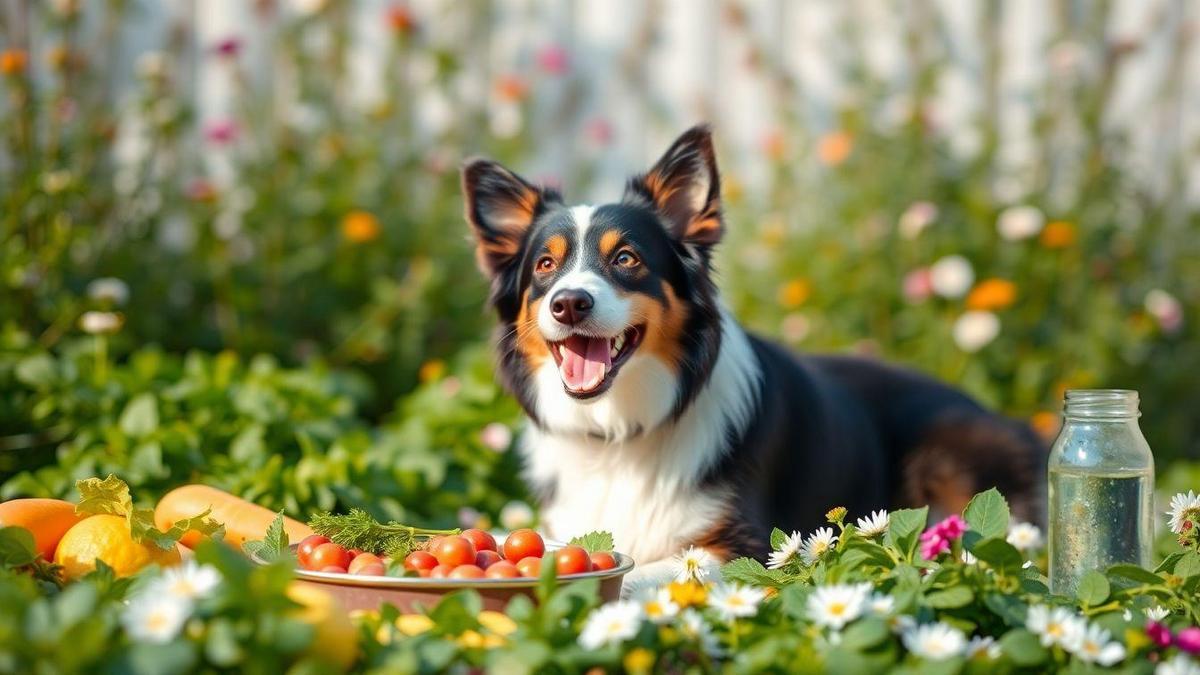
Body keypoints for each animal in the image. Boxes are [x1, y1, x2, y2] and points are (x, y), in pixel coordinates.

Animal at [463, 124, 1046, 583]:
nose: (568, 303)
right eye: (545, 266)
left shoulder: (746, 542)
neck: (620, 432)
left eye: (626, 259)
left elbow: (650, 570)